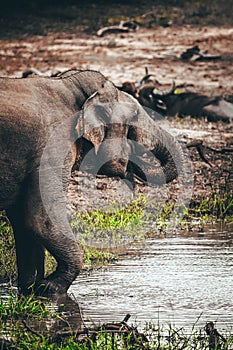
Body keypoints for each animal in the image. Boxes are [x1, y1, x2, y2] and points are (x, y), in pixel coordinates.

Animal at [0, 69, 186, 296]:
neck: (70, 86)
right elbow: (40, 219)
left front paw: (33, 291)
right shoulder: (52, 150)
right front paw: (50, 287)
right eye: (134, 116)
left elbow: (21, 221)